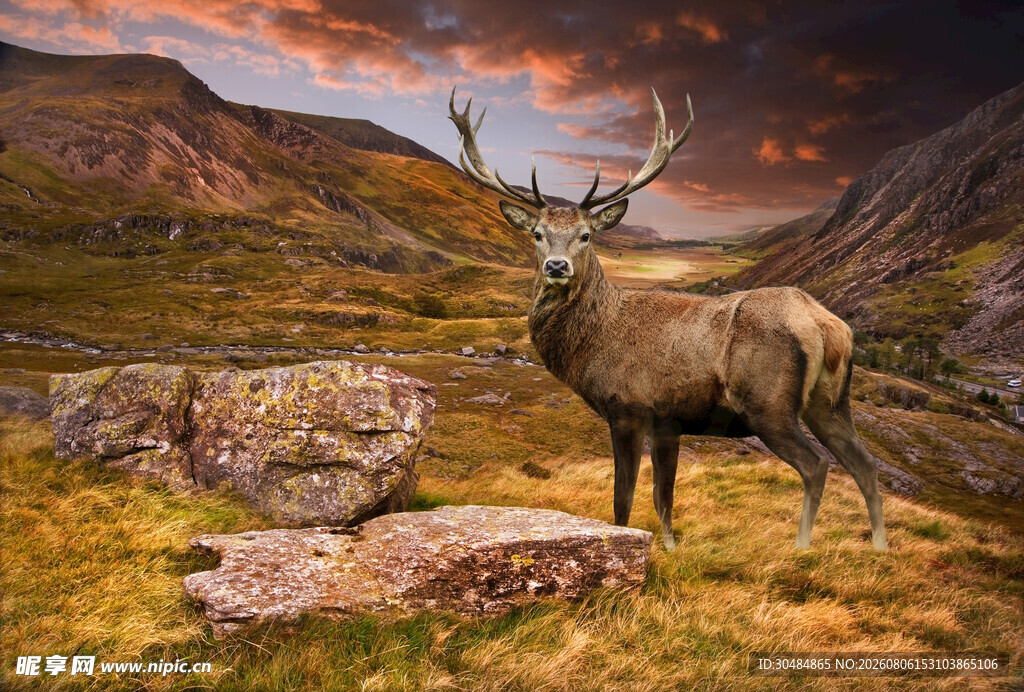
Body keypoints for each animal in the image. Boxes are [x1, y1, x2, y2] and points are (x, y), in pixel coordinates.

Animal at [448, 86, 888, 552]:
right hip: (831, 402)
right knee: (865, 464)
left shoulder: (628, 407)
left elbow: (623, 499)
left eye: (586, 235)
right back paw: (881, 548)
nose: (556, 266)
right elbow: (664, 497)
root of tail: (827, 325)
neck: (594, 343)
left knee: (816, 465)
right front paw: (670, 548)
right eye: (537, 234)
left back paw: (802, 546)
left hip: (768, 403)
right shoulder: (668, 422)